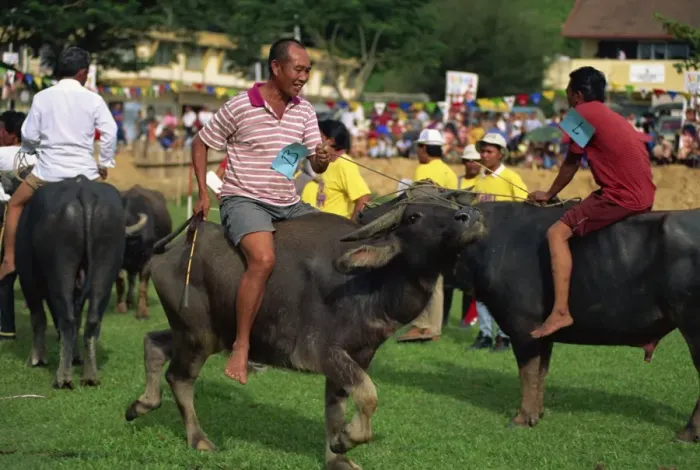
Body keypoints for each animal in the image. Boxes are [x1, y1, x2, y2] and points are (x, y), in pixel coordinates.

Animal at [18, 176, 148, 388]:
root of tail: (84, 192)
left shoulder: (27, 278)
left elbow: (38, 317)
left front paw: (36, 359)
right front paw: (75, 356)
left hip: (61, 267)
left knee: (66, 319)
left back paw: (63, 377)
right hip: (105, 266)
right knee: (92, 319)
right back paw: (90, 375)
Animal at [116, 185, 172, 319]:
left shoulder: (147, 258)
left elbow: (143, 285)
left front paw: (142, 312)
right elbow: (121, 282)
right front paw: (121, 308)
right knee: (131, 279)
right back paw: (129, 301)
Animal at [125, 184, 485, 469]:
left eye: (447, 205)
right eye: (413, 217)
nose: (470, 216)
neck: (369, 282)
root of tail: (171, 250)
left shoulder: (357, 357)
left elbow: (336, 407)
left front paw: (338, 454)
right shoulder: (321, 353)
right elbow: (369, 395)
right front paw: (347, 439)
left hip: (200, 333)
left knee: (153, 342)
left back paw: (141, 404)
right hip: (198, 336)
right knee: (180, 377)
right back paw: (198, 438)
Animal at [359, 188, 700, 443]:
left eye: (413, 215)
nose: (363, 211)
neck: (490, 243)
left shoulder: (522, 328)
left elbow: (527, 372)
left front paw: (522, 417)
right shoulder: (543, 334)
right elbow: (541, 372)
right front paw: (538, 412)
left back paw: (687, 433)